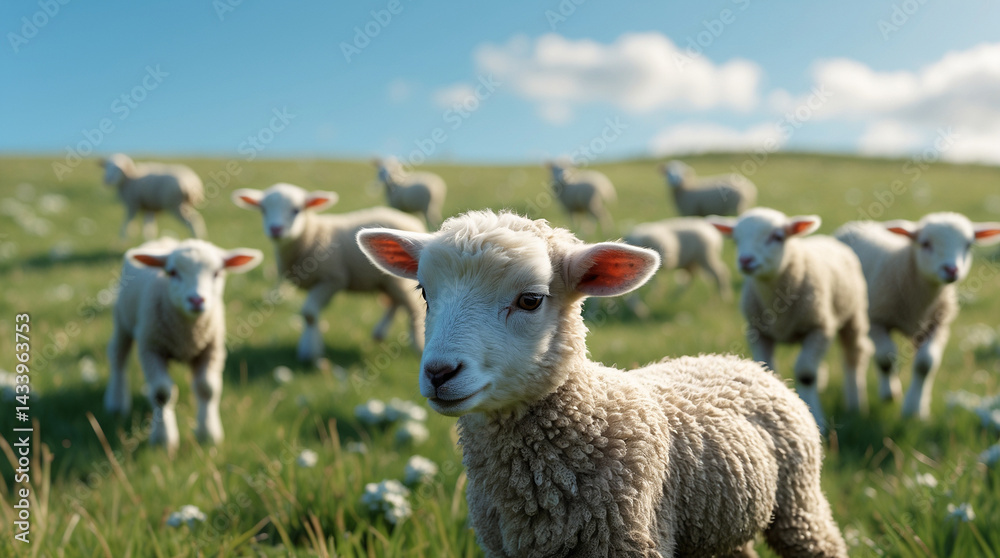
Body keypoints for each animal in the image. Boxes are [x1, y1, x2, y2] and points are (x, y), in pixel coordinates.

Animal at [103, 238, 263, 454]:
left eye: (217, 273)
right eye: (172, 272)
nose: (196, 299)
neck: (188, 332)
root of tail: (163, 240)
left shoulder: (211, 348)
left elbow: (207, 388)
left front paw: (208, 434)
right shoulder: (151, 348)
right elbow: (162, 393)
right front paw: (163, 440)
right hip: (122, 319)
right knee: (118, 357)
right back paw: (116, 402)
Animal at [231, 183, 426, 362]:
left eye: (296, 210)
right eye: (263, 210)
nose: (275, 229)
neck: (313, 233)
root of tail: (413, 222)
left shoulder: (333, 279)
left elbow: (309, 313)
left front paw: (310, 354)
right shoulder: (317, 282)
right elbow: (311, 315)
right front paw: (310, 346)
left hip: (396, 280)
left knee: (412, 308)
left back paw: (418, 346)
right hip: (387, 279)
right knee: (395, 302)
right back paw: (379, 333)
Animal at [357, 210, 848, 558]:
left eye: (530, 300)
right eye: (424, 292)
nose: (439, 373)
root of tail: (740, 363)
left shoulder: (630, 540)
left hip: (799, 505)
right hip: (721, 525)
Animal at [709, 208, 872, 431]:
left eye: (777, 237)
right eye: (736, 239)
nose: (746, 260)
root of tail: (826, 238)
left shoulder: (819, 328)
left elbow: (806, 373)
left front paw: (817, 420)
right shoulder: (758, 332)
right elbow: (768, 370)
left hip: (853, 315)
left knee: (853, 356)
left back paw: (856, 403)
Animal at [835, 213, 1000, 418]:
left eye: (968, 245)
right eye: (925, 243)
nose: (951, 270)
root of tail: (856, 224)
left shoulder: (935, 325)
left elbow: (925, 364)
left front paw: (914, 409)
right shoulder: (876, 320)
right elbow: (886, 357)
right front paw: (890, 393)